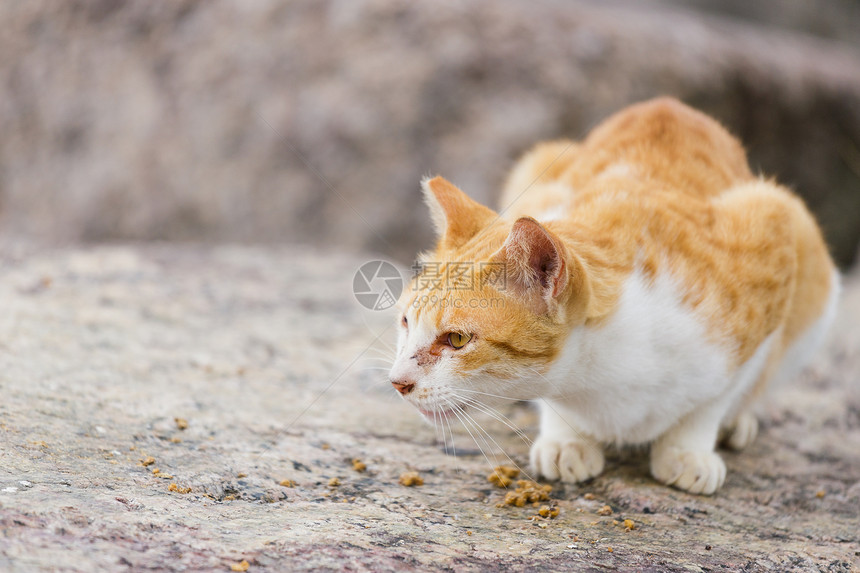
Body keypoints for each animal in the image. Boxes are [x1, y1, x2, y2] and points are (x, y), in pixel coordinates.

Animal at [390, 97, 840, 492]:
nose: (397, 383)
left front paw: (689, 448)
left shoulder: (771, 232)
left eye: (457, 339)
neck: (598, 377)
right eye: (405, 322)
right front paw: (567, 439)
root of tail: (668, 103)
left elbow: (716, 396)